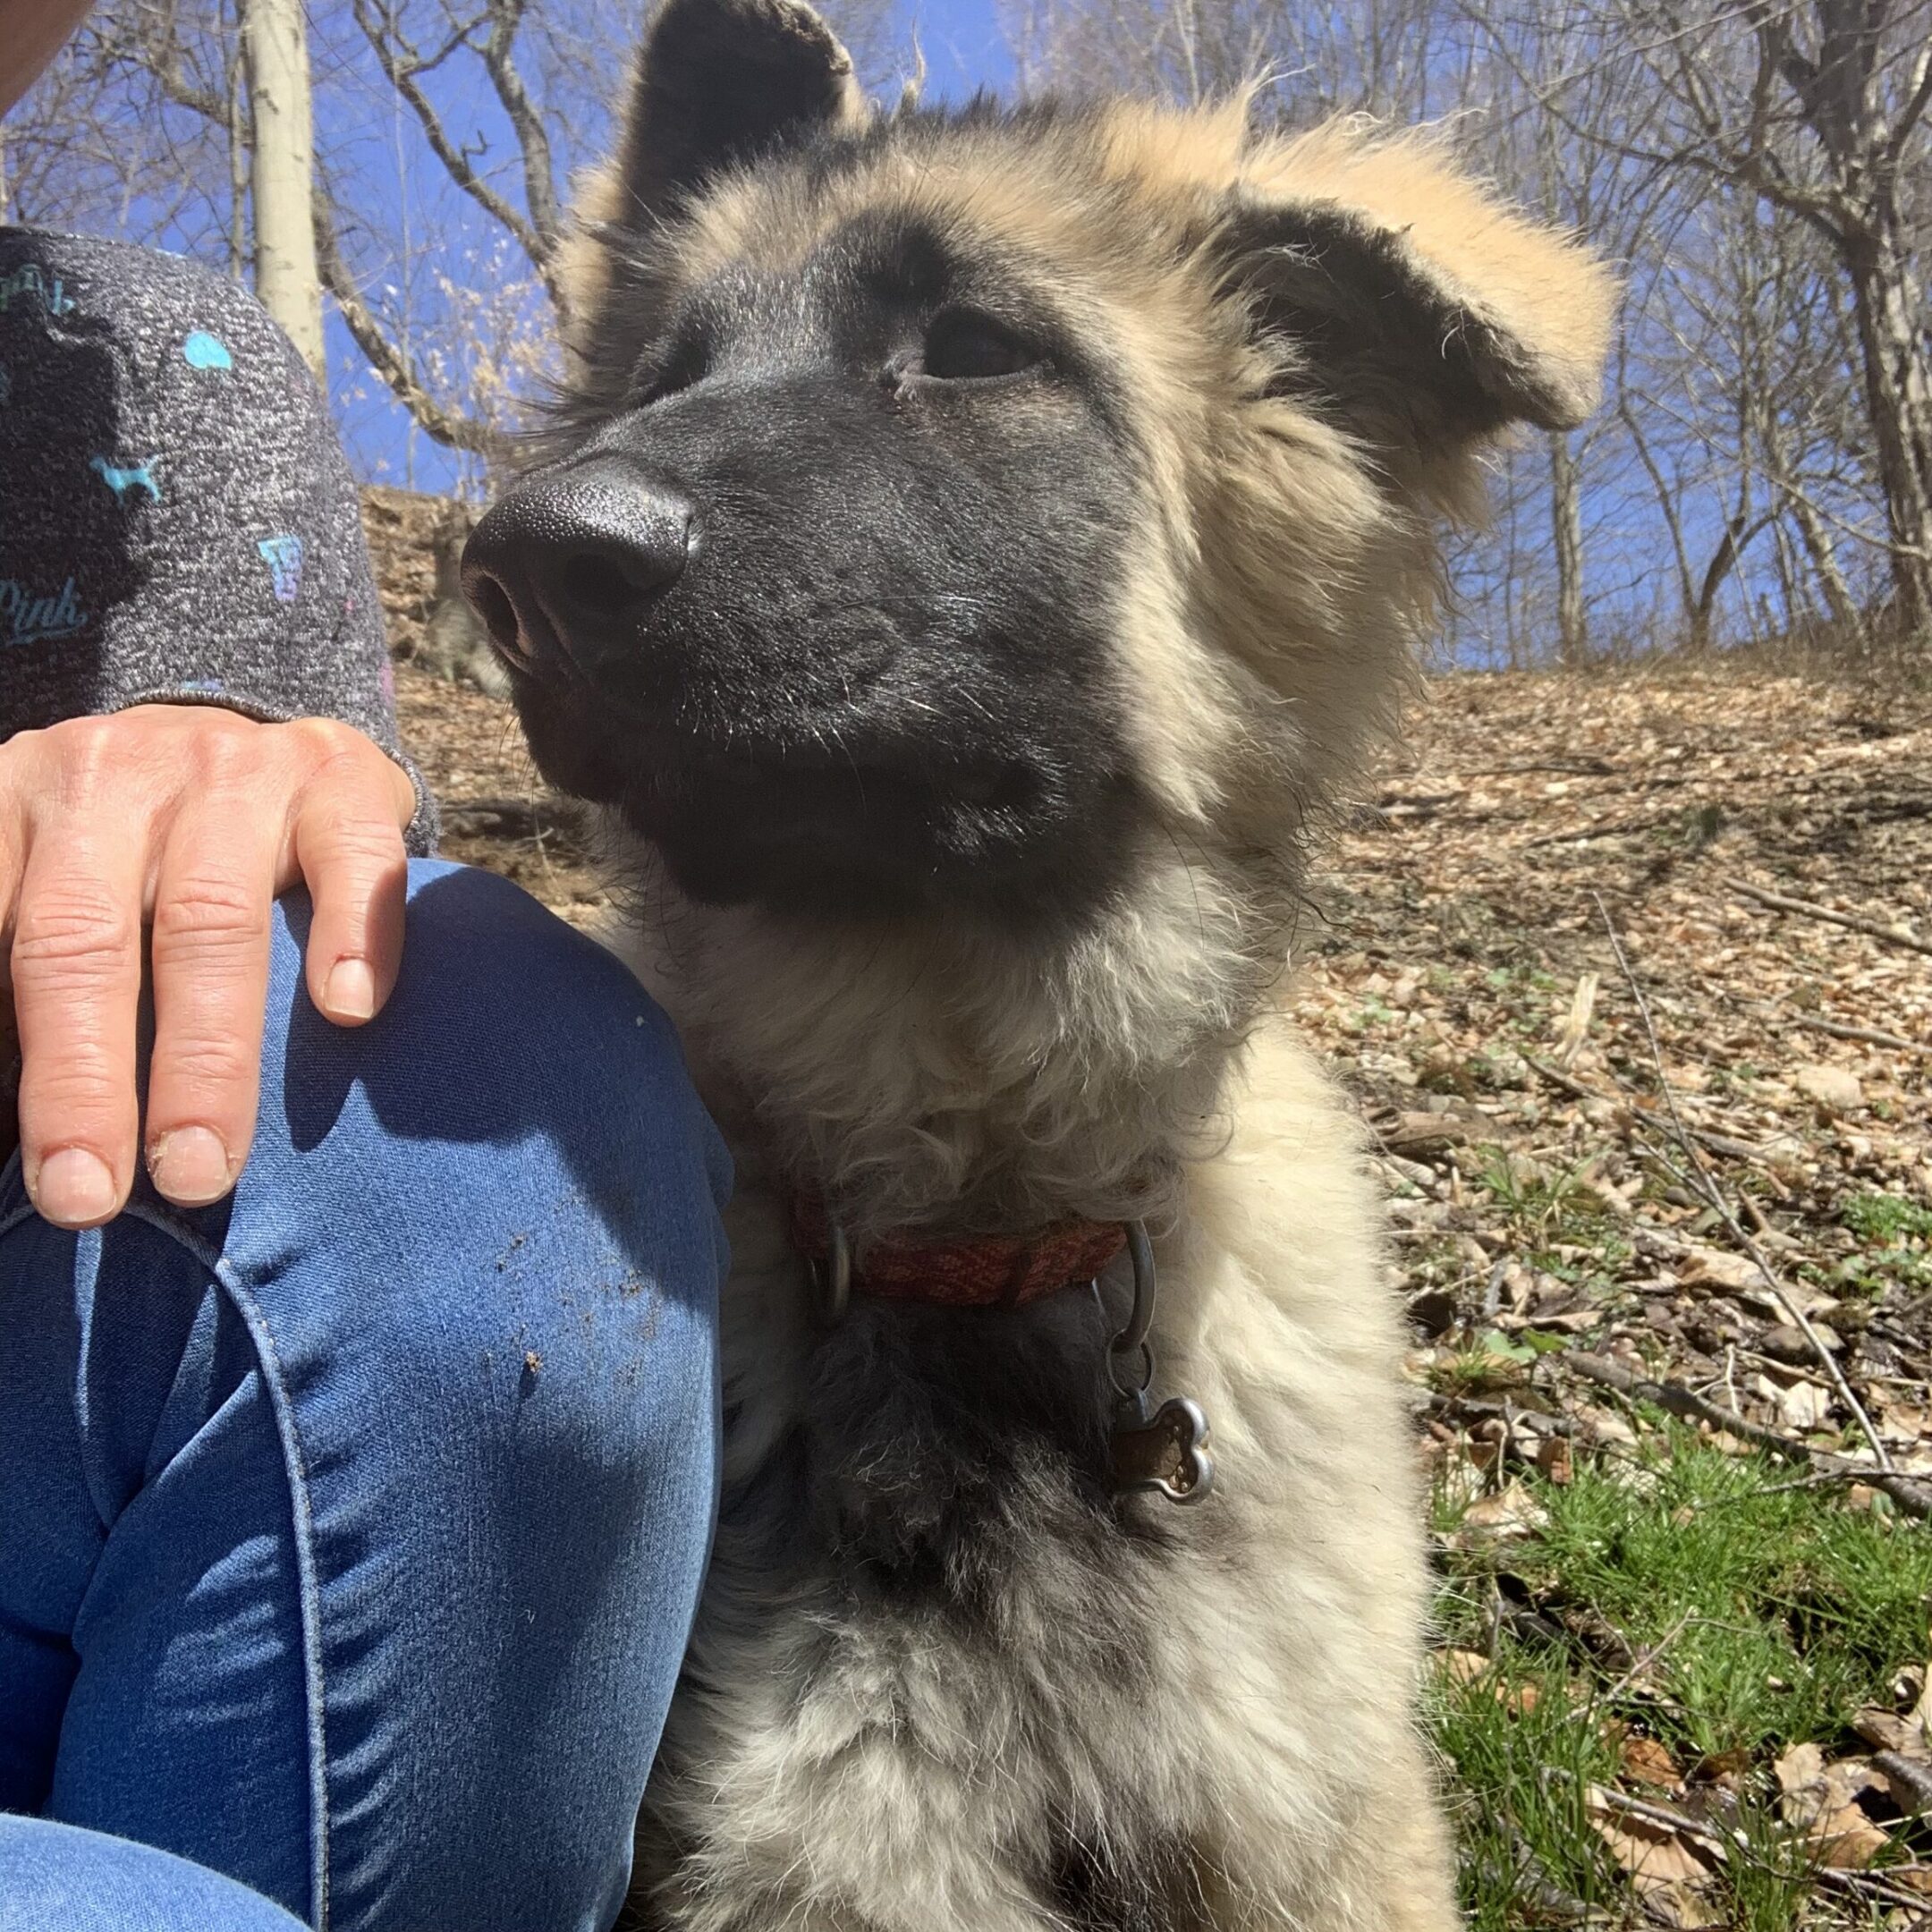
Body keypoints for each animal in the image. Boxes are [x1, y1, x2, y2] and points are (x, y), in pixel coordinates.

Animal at [460, 7, 1607, 1924]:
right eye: (662, 377)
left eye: (976, 351)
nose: (526, 564)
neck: (975, 1233)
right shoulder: (825, 1858)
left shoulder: (1310, 1834)